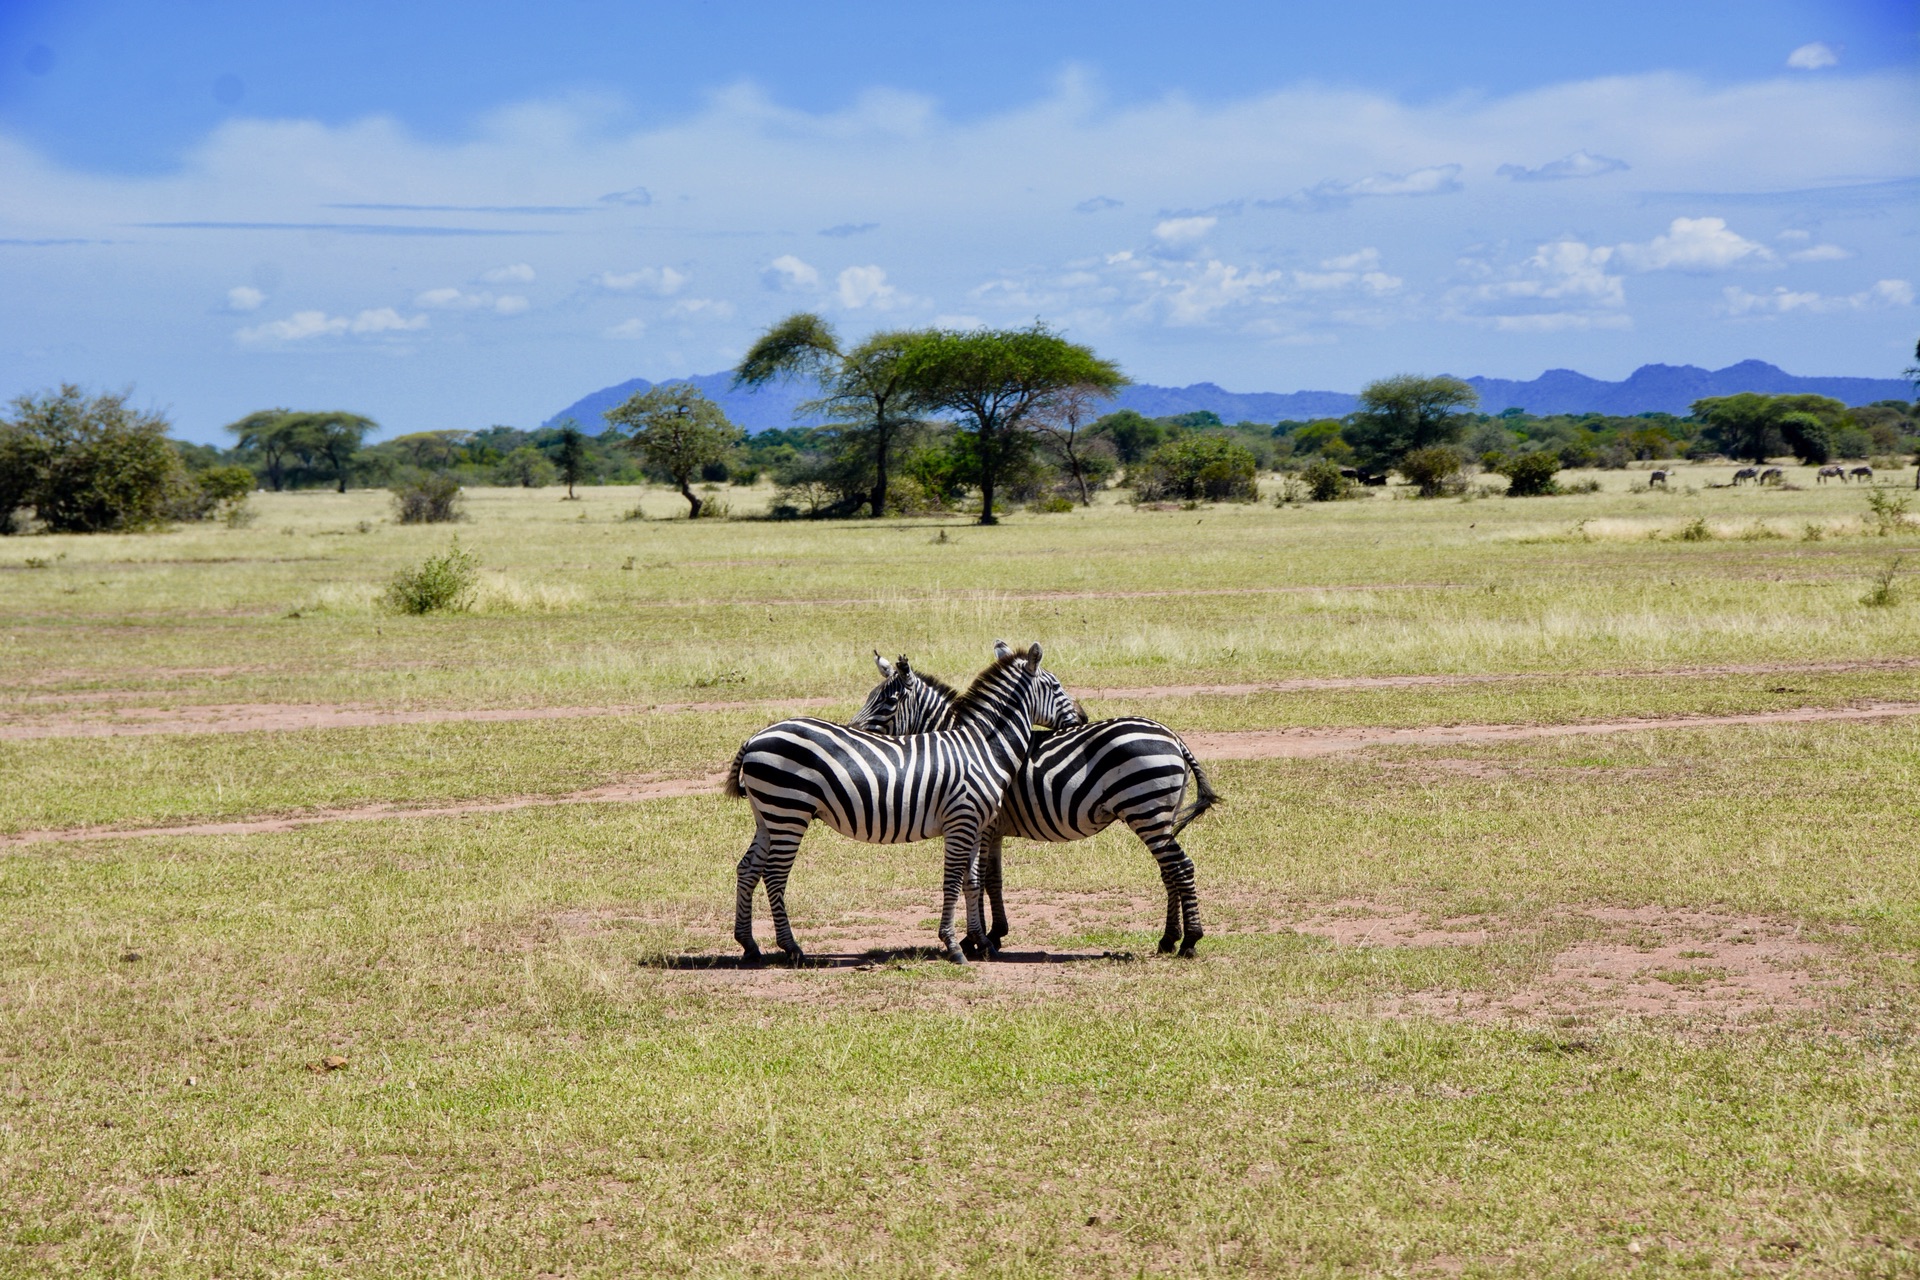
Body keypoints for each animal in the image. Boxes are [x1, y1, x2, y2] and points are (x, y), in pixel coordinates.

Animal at [721, 644, 1082, 967]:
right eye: (1055, 686)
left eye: (887, 700)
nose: (1082, 717)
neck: (983, 747)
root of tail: (755, 738)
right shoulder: (962, 820)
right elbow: (953, 881)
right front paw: (954, 945)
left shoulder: (978, 825)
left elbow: (972, 882)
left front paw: (981, 941)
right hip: (789, 812)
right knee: (774, 875)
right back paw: (792, 948)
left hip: (768, 815)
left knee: (749, 868)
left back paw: (749, 944)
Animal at [852, 656, 1213, 955]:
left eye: (887, 702)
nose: (854, 732)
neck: (970, 745)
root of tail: (1170, 735)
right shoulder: (993, 829)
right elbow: (993, 879)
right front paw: (993, 933)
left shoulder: (984, 825)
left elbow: (980, 878)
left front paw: (976, 939)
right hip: (1158, 815)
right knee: (1169, 870)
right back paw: (1168, 939)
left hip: (1145, 810)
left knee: (1180, 867)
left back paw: (1189, 941)